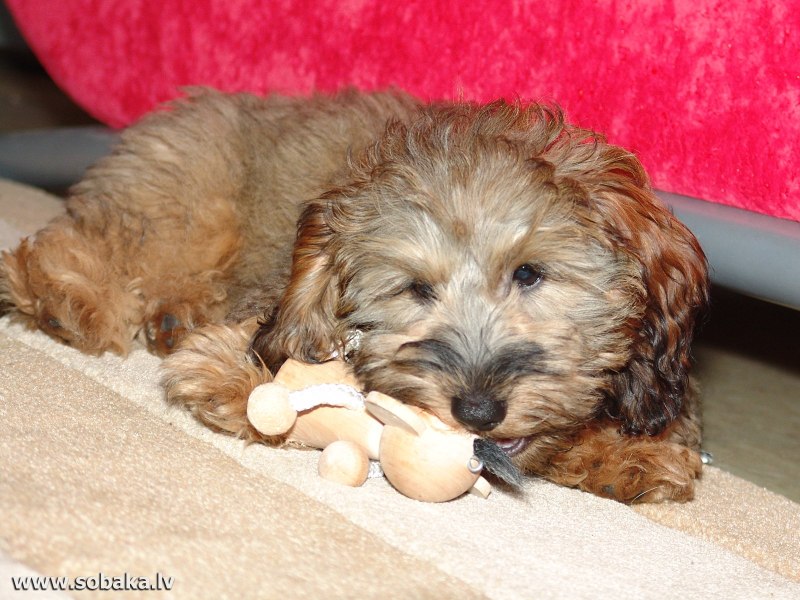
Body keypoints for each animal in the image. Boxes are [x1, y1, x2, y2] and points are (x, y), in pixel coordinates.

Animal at [0, 89, 709, 503]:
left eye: (530, 274)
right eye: (416, 288)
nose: (477, 410)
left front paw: (630, 455)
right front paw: (241, 381)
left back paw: (171, 316)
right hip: (189, 202)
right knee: (102, 243)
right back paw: (65, 296)